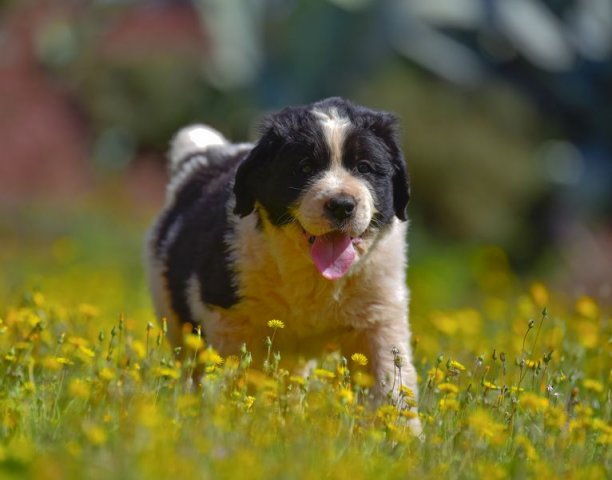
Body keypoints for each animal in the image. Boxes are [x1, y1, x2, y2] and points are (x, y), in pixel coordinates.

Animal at [146, 97, 421, 433]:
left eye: (364, 167)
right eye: (304, 168)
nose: (342, 205)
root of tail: (205, 156)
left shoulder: (378, 312)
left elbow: (390, 379)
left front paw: (401, 438)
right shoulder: (231, 317)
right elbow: (241, 371)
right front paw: (237, 418)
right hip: (174, 314)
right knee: (191, 363)